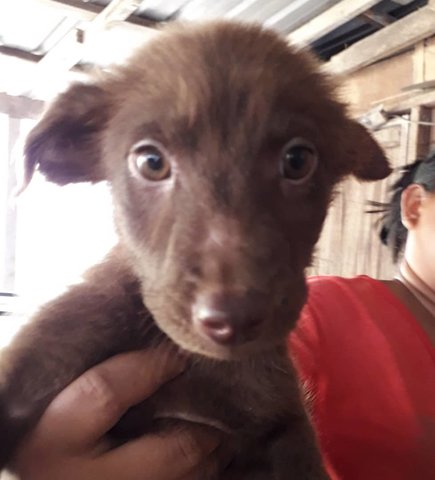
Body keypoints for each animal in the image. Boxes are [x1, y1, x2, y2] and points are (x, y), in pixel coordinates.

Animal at [0, 22, 390, 480]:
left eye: (298, 160)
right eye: (151, 162)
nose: (233, 319)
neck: (196, 363)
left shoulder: (286, 427)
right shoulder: (49, 349)